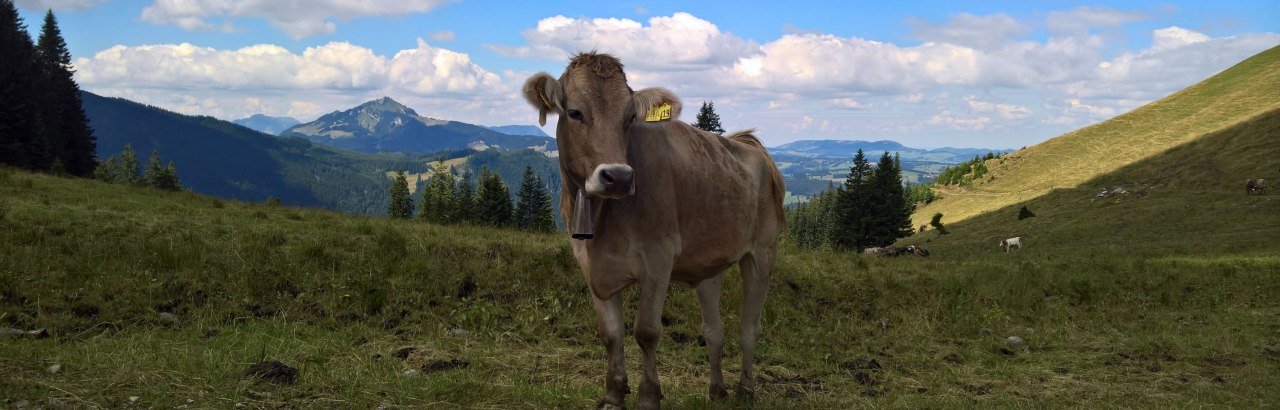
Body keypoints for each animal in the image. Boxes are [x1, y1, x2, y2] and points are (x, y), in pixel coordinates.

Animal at [522, 52, 783, 407]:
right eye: (575, 112)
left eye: (629, 118)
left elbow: (646, 332)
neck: (604, 221)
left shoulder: (658, 259)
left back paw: (745, 389)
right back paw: (717, 389)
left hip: (762, 253)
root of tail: (746, 142)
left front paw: (648, 397)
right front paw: (613, 395)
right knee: (713, 329)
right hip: (709, 263)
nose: (618, 177)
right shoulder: (590, 265)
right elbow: (610, 333)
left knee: (749, 328)